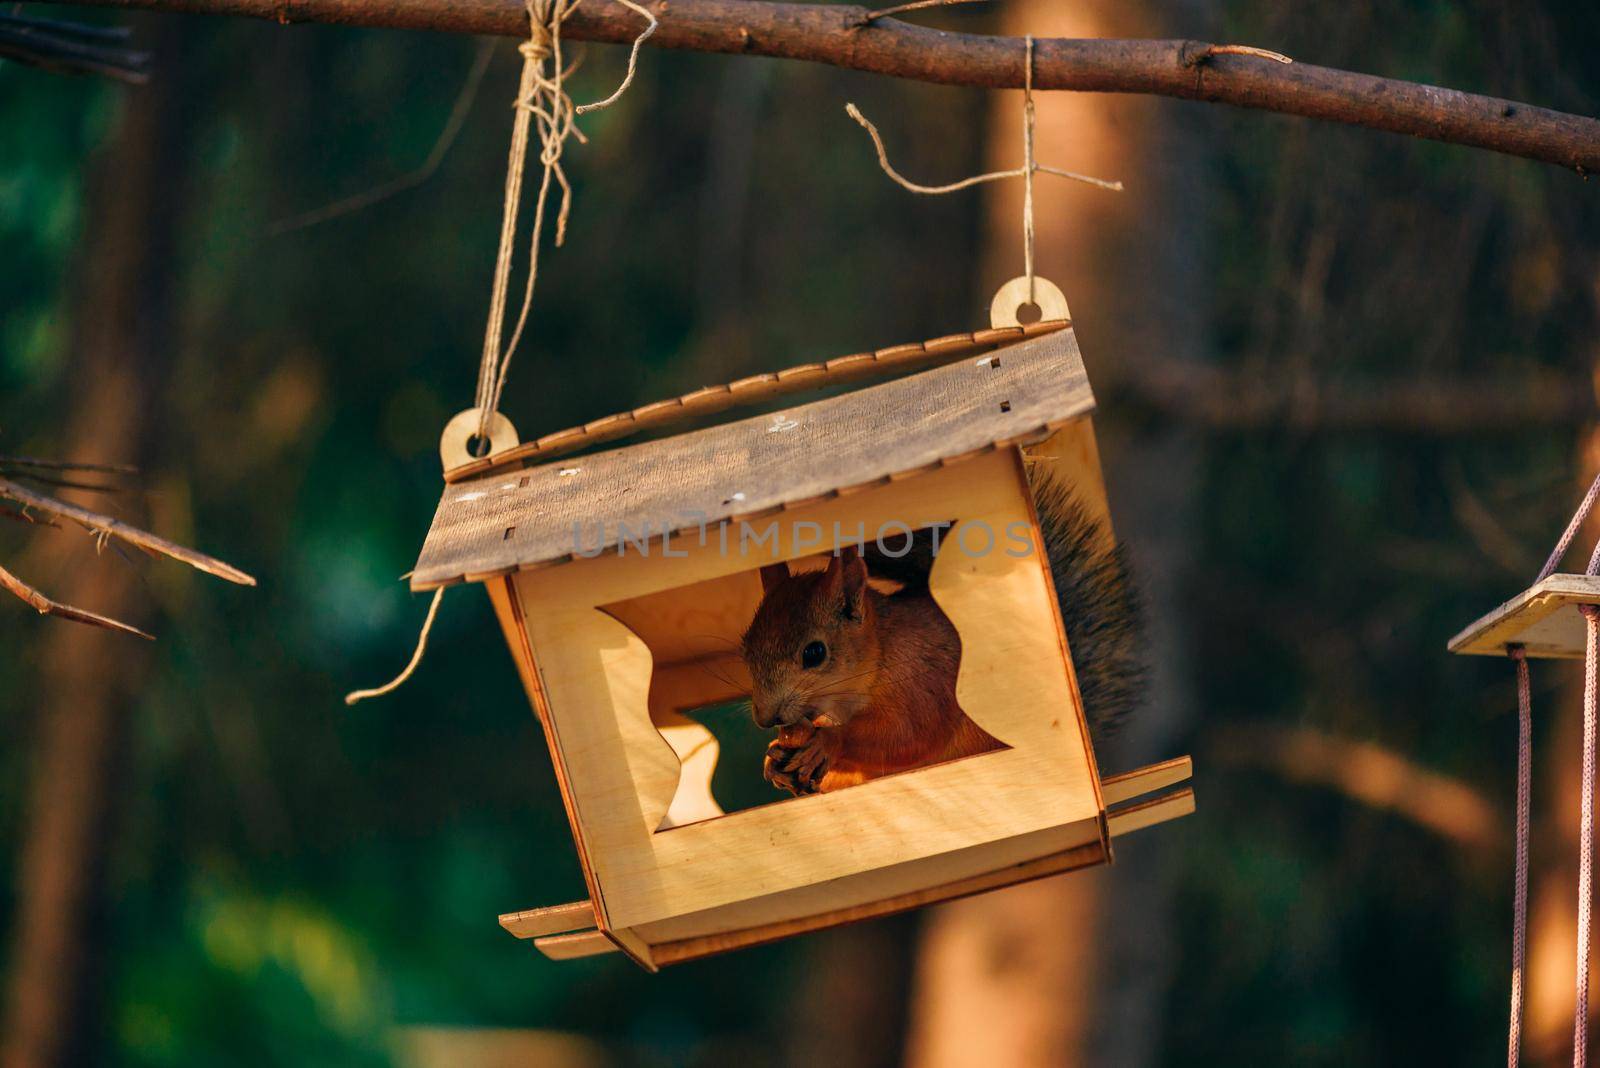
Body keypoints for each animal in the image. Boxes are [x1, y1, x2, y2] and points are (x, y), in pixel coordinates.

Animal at [742, 473, 1145, 793]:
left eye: (815, 653)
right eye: (745, 649)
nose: (764, 717)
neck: (880, 654)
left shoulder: (924, 679)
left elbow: (909, 736)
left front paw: (825, 741)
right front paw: (772, 760)